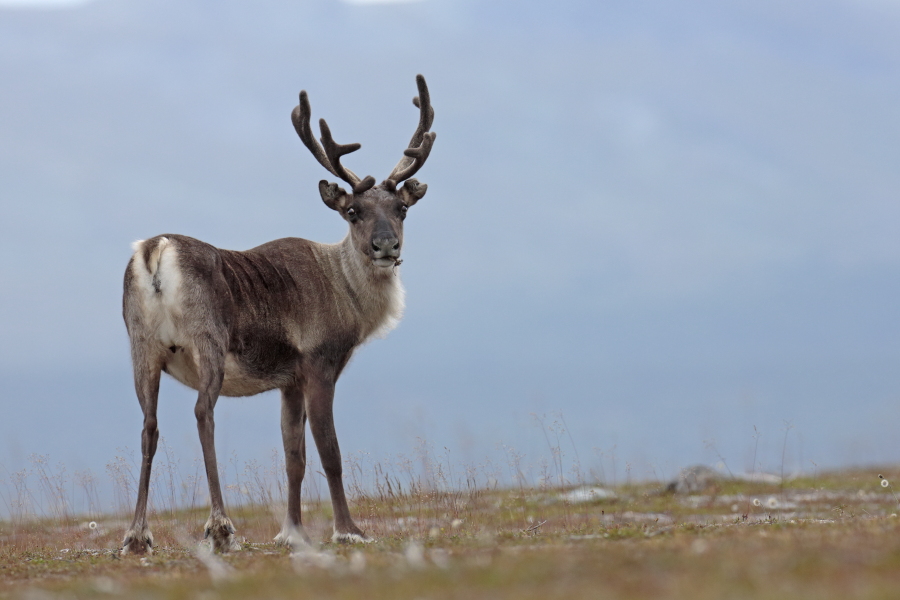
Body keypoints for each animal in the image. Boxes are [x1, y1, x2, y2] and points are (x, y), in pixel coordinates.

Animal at [120, 75, 435, 554]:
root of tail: (156, 249)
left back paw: (138, 535)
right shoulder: (320, 363)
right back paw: (220, 526)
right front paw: (348, 529)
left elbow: (294, 456)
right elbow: (329, 451)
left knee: (148, 426)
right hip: (206, 342)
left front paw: (293, 531)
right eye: (352, 211)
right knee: (202, 413)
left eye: (401, 209)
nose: (386, 246)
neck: (344, 290)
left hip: (142, 348)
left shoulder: (289, 381)